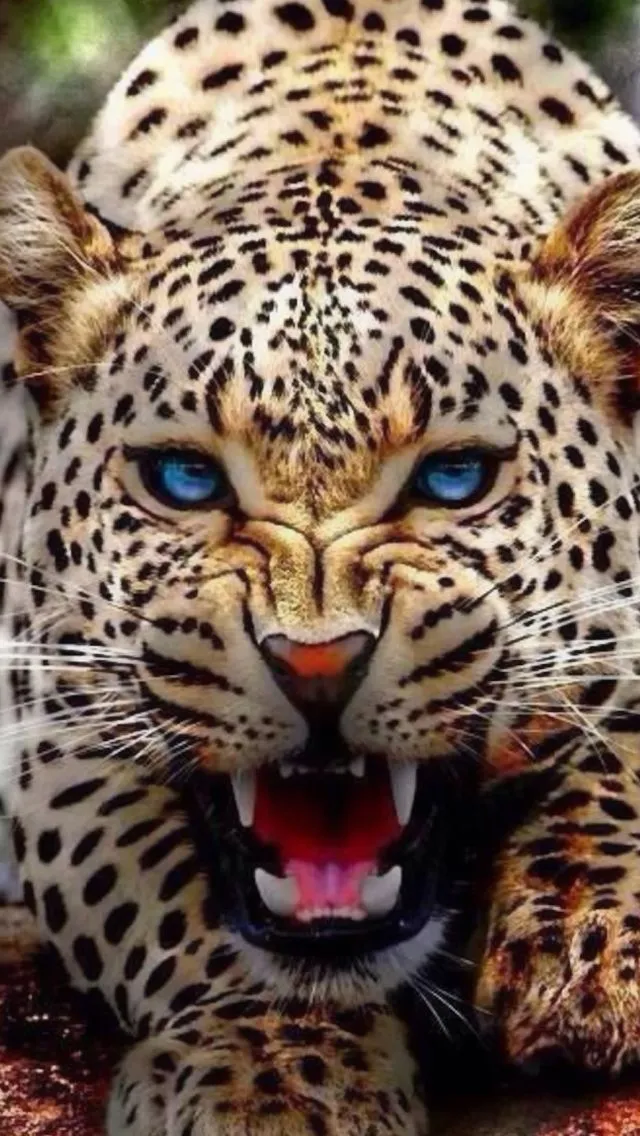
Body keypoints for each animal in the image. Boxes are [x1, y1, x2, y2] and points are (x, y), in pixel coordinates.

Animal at [3, 0, 640, 1132]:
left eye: (453, 478)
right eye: (182, 478)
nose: (315, 666)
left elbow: (626, 765)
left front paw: (585, 944)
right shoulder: (47, 727)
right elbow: (177, 903)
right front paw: (272, 1070)